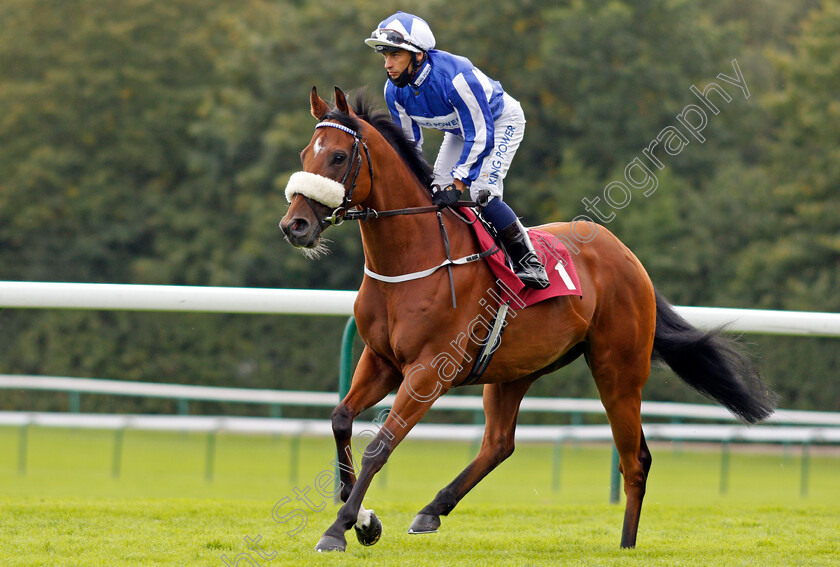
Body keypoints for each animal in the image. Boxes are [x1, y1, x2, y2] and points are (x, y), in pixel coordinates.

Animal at [278, 86, 776, 552]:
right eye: (304, 154)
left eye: (339, 156)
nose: (294, 225)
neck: (412, 260)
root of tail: (629, 258)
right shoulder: (381, 360)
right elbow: (341, 419)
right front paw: (363, 519)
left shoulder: (428, 372)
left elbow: (379, 446)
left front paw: (339, 529)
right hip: (515, 369)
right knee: (500, 443)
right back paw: (432, 509)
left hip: (618, 369)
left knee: (634, 459)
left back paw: (627, 544)